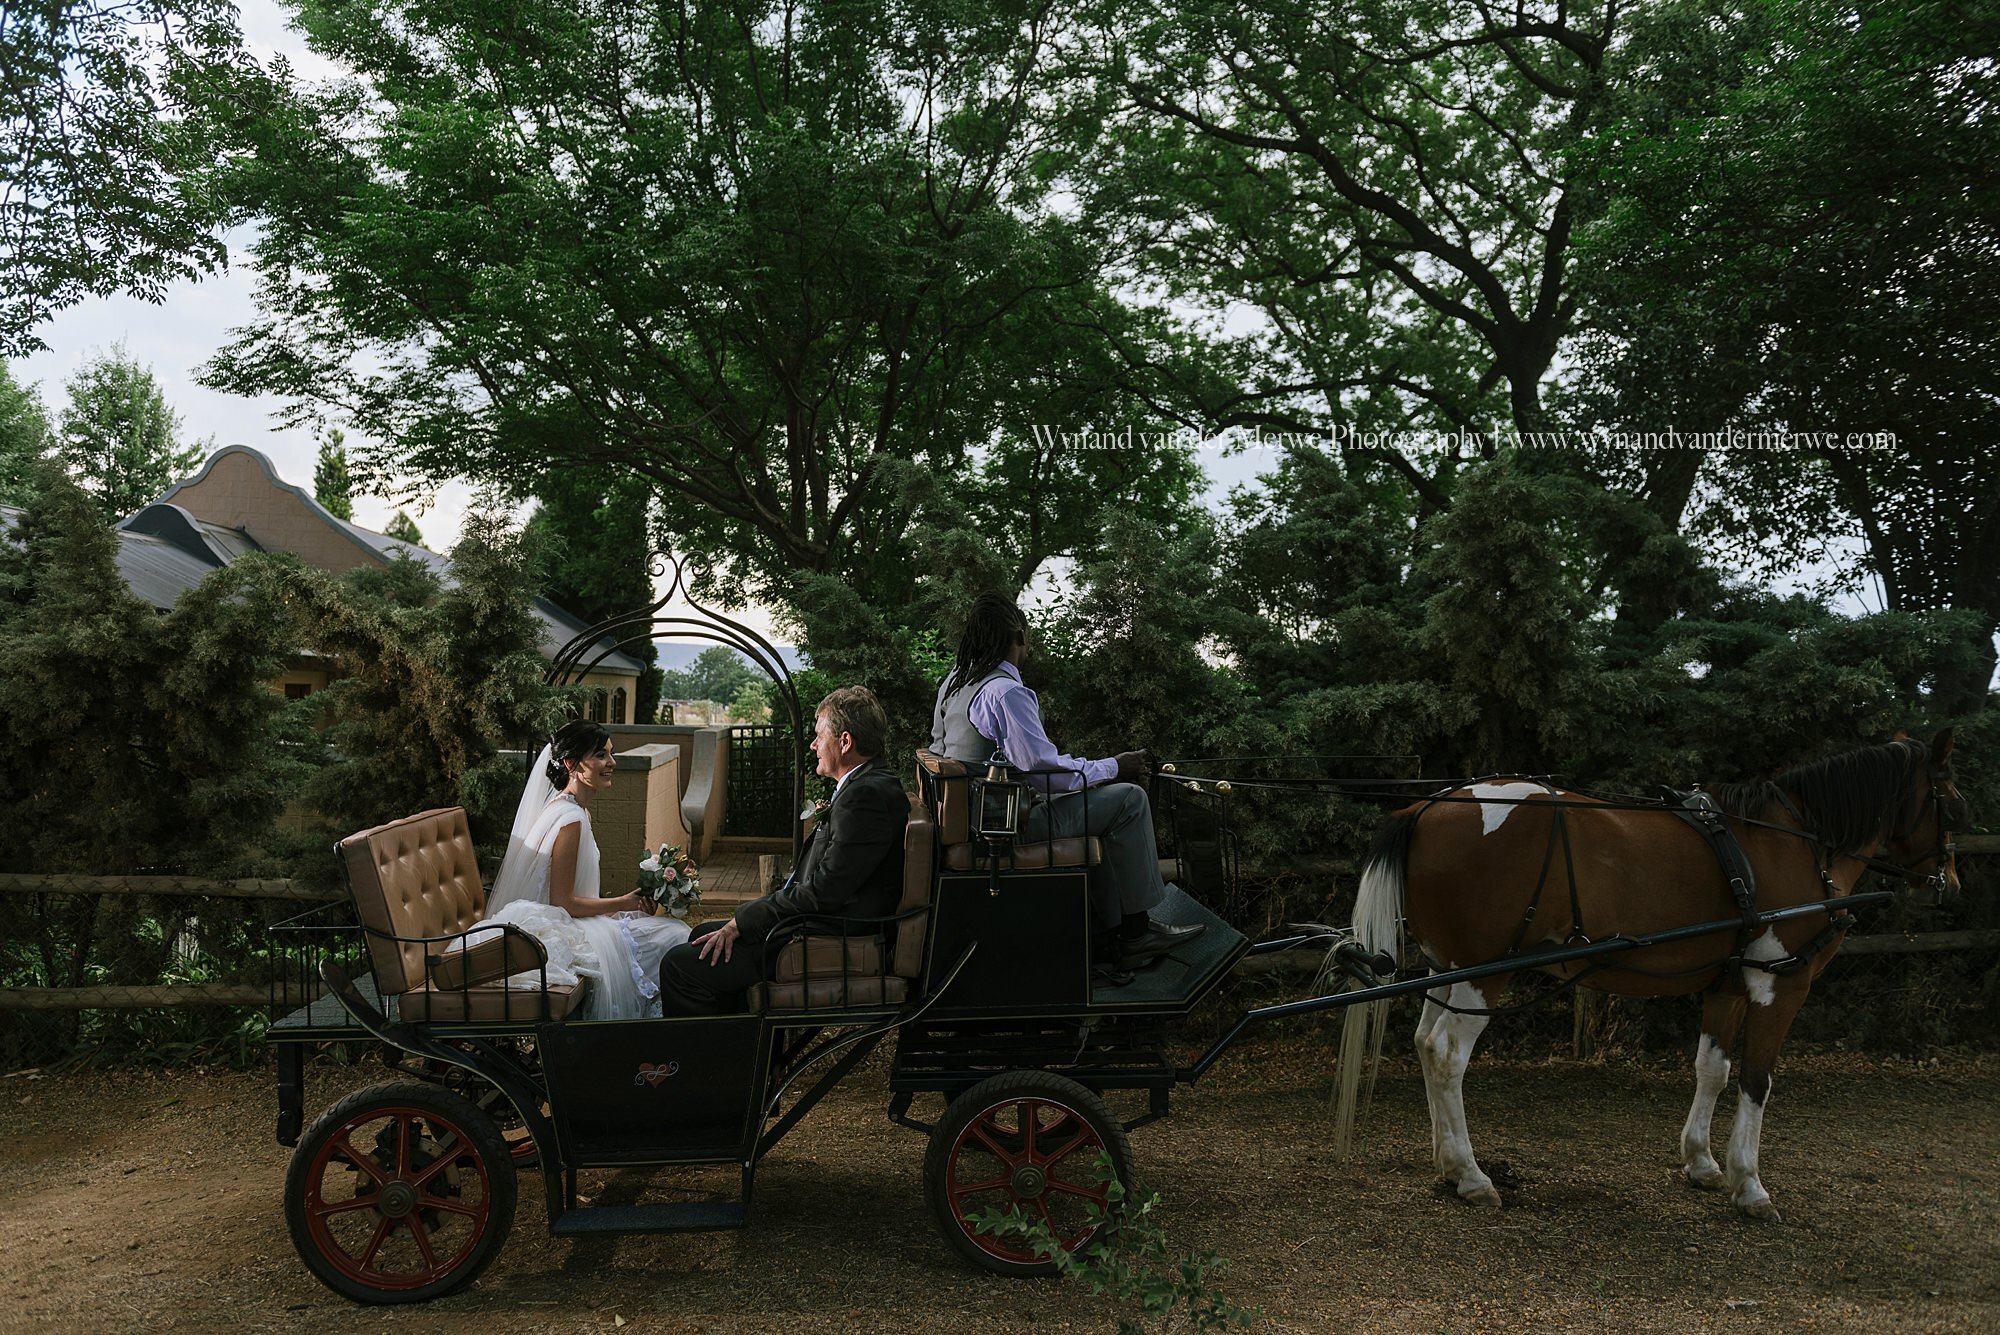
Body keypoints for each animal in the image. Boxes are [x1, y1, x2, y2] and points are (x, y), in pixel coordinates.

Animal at [1336, 731, 1960, 1223]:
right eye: (1952, 798)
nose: (1950, 885)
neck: (1792, 843)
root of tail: (1425, 808)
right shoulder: (1780, 983)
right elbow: (1756, 1079)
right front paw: (1750, 1185)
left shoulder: (1729, 984)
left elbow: (1713, 1068)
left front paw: (1702, 1162)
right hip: (1480, 974)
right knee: (1446, 1054)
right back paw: (1470, 1174)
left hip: (1448, 968)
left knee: (1424, 1044)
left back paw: (1447, 1161)